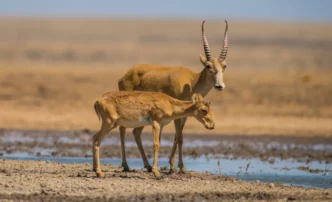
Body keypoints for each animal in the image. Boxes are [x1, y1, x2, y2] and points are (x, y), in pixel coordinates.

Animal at [118, 19, 230, 173]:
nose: (219, 86)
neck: (191, 81)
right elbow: (180, 137)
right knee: (123, 129)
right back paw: (126, 165)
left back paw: (147, 165)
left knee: (136, 132)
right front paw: (180, 167)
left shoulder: (184, 115)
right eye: (208, 66)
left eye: (224, 66)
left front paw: (173, 166)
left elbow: (177, 136)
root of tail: (124, 76)